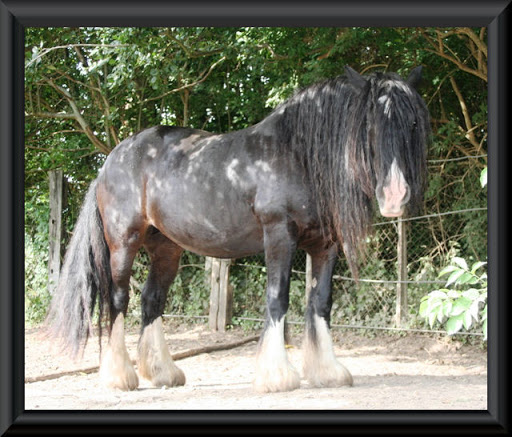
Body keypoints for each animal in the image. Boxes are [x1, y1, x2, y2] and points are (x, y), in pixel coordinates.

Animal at [46, 67, 430, 392]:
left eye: (413, 123)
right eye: (370, 127)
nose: (395, 195)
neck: (298, 156)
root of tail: (110, 161)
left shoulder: (325, 245)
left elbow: (320, 302)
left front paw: (327, 372)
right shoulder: (279, 235)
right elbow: (277, 298)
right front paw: (277, 376)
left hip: (167, 248)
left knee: (152, 299)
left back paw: (162, 373)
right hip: (123, 242)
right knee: (118, 298)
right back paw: (119, 377)